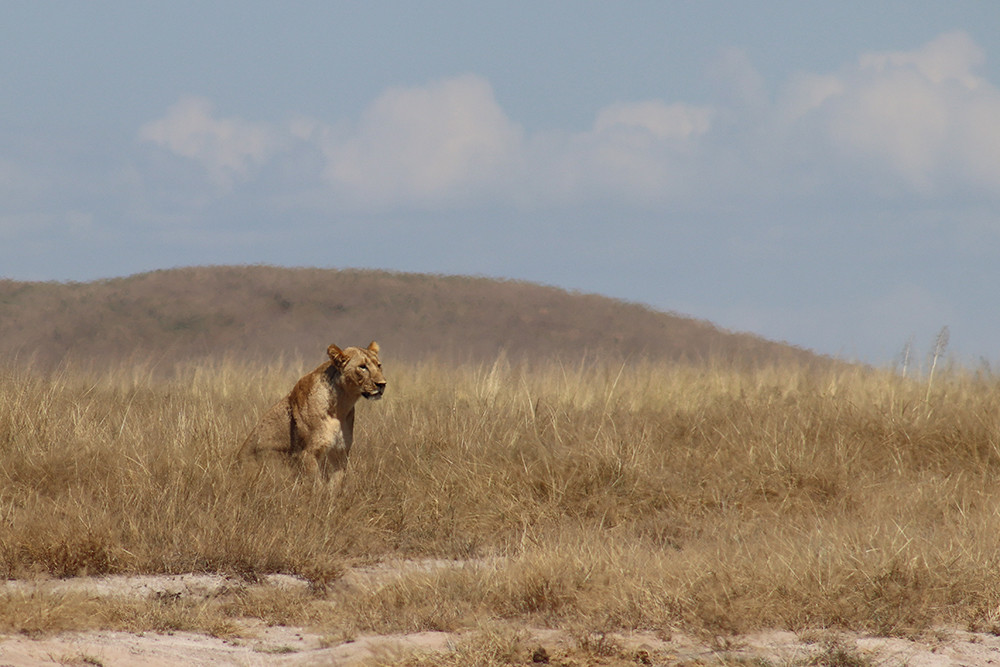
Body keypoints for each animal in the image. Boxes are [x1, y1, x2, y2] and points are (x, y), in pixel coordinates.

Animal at [238, 341, 386, 485]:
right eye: (362, 367)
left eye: (379, 365)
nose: (382, 384)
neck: (340, 406)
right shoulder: (307, 453)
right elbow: (316, 486)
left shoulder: (340, 452)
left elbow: (335, 485)